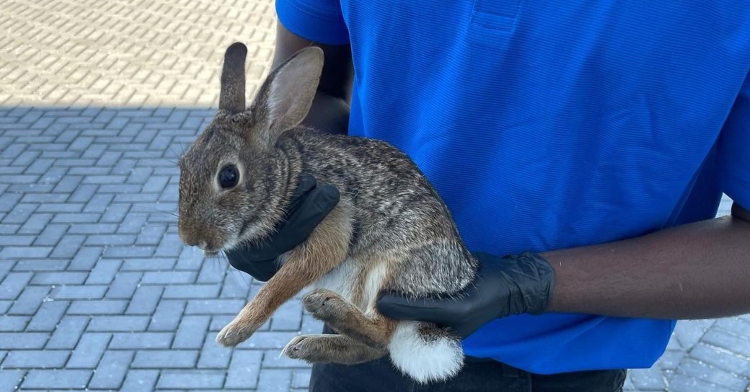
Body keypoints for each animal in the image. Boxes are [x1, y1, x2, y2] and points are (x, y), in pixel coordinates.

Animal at [178, 42, 476, 382]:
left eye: (229, 176)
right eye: (184, 164)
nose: (191, 238)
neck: (289, 176)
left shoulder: (330, 228)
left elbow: (279, 284)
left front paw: (233, 332)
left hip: (392, 269)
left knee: (381, 334)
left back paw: (324, 306)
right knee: (374, 348)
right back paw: (307, 345)